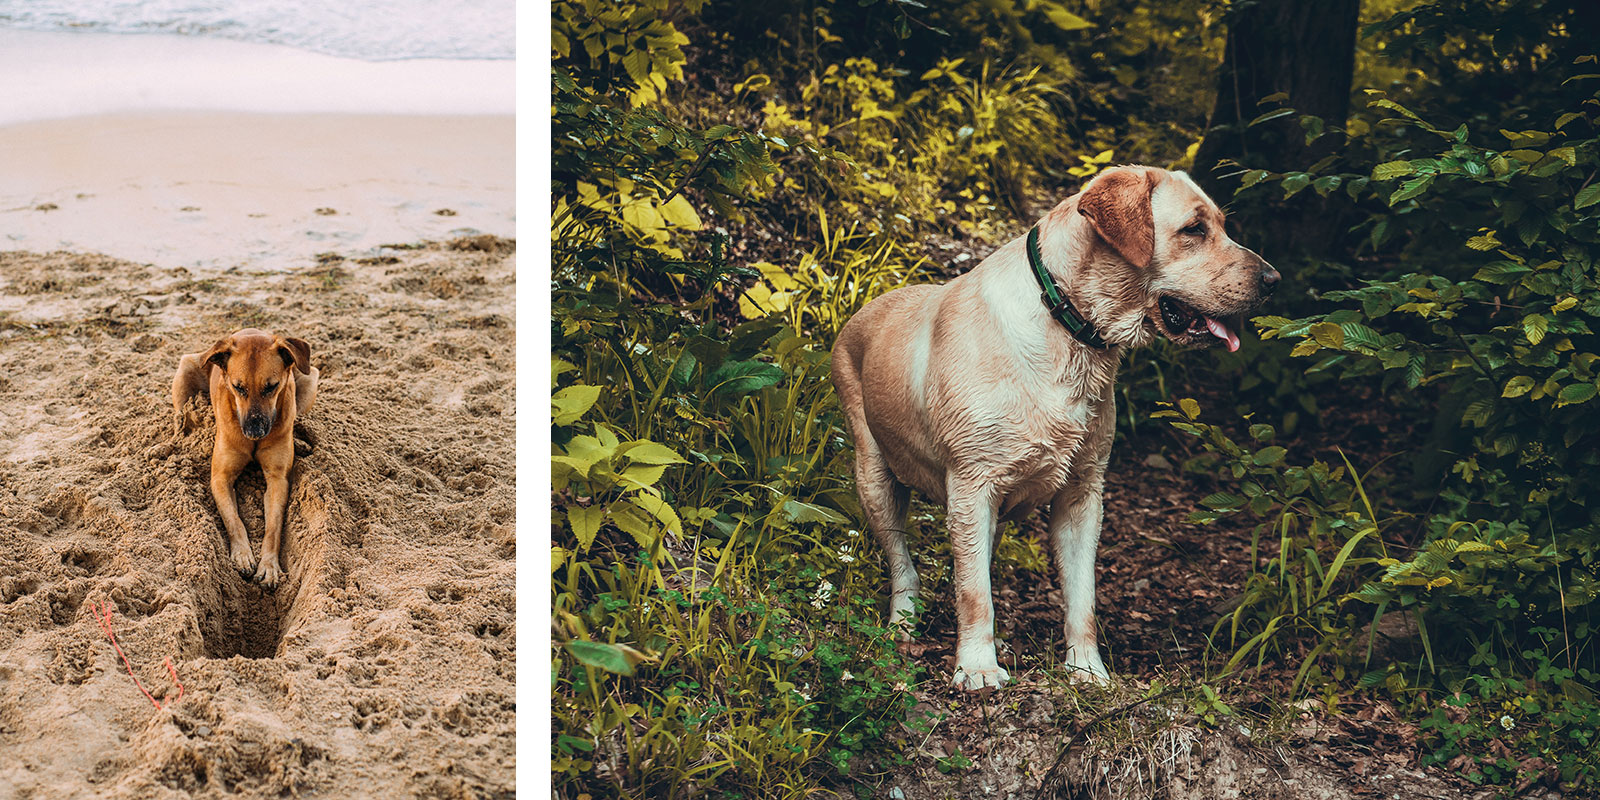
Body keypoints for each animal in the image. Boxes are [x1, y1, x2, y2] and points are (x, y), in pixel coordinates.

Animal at [172, 326, 318, 588]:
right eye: (238, 387)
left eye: (271, 386)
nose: (254, 431)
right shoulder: (220, 478)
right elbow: (233, 519)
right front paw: (242, 555)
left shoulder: (278, 480)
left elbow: (273, 527)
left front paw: (268, 565)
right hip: (185, 369)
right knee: (180, 417)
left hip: (310, 377)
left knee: (299, 414)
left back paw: (300, 442)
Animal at [838, 164, 1273, 688]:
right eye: (1194, 229)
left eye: (1223, 226)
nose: (1273, 279)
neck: (1067, 324)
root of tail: (865, 307)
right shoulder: (971, 485)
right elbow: (973, 593)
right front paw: (977, 666)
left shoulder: (1083, 495)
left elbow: (1081, 597)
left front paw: (1087, 668)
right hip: (875, 479)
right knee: (904, 564)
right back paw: (902, 626)